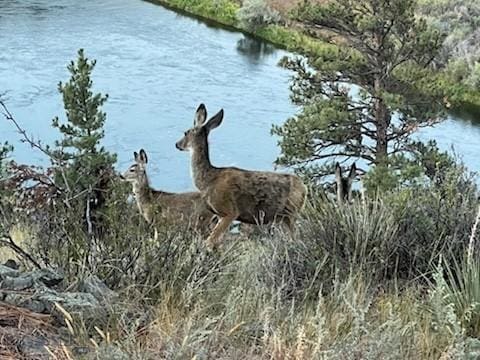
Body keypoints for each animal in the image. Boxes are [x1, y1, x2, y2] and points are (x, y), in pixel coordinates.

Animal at [176, 104, 308, 248]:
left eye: (186, 132)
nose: (177, 144)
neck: (208, 180)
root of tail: (304, 188)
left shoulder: (230, 210)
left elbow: (209, 241)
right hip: (285, 217)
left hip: (291, 212)